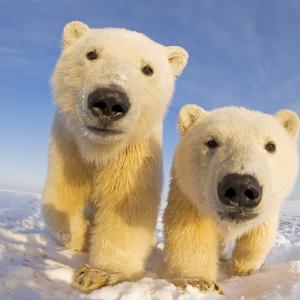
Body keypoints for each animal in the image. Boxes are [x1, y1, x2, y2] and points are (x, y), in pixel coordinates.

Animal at [42, 19, 188, 292]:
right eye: (91, 54)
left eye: (148, 69)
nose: (110, 101)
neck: (99, 149)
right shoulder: (69, 146)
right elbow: (61, 197)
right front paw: (84, 235)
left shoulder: (133, 153)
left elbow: (125, 206)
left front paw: (98, 273)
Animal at [164, 105, 300, 292]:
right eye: (211, 142)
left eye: (271, 145)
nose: (241, 187)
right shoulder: (188, 193)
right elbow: (189, 232)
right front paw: (198, 281)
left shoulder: (269, 206)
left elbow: (259, 234)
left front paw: (245, 269)